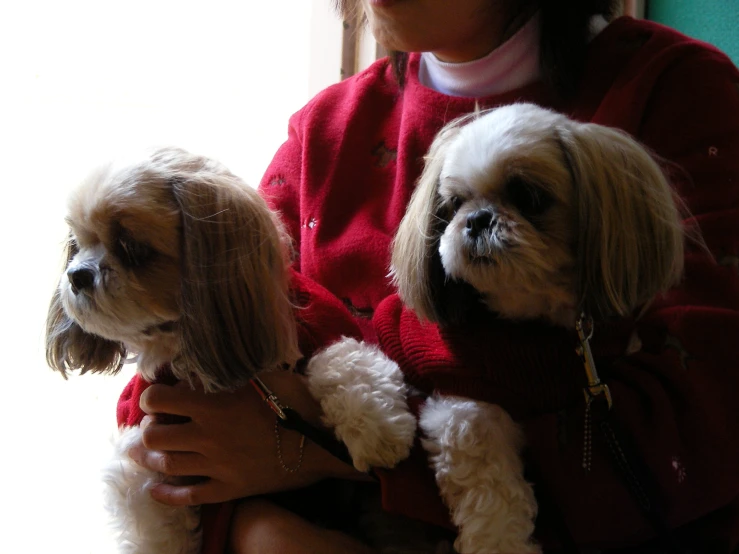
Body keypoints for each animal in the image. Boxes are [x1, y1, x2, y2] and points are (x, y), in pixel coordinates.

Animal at [306, 103, 688, 552]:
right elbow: (491, 493)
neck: (527, 324)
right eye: (453, 204)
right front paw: (501, 541)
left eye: (528, 196)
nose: (476, 219)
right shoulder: (467, 402)